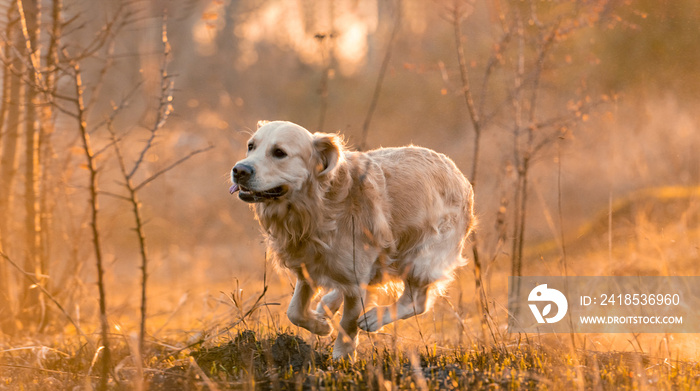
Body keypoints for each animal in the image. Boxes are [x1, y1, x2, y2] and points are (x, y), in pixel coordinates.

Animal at [230, 121, 476, 360]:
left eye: (279, 153)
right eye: (251, 146)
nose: (239, 170)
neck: (319, 206)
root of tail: (458, 173)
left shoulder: (357, 280)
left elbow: (348, 324)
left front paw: (342, 359)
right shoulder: (308, 267)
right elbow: (295, 311)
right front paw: (321, 326)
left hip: (420, 259)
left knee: (417, 302)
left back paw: (373, 318)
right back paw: (327, 304)